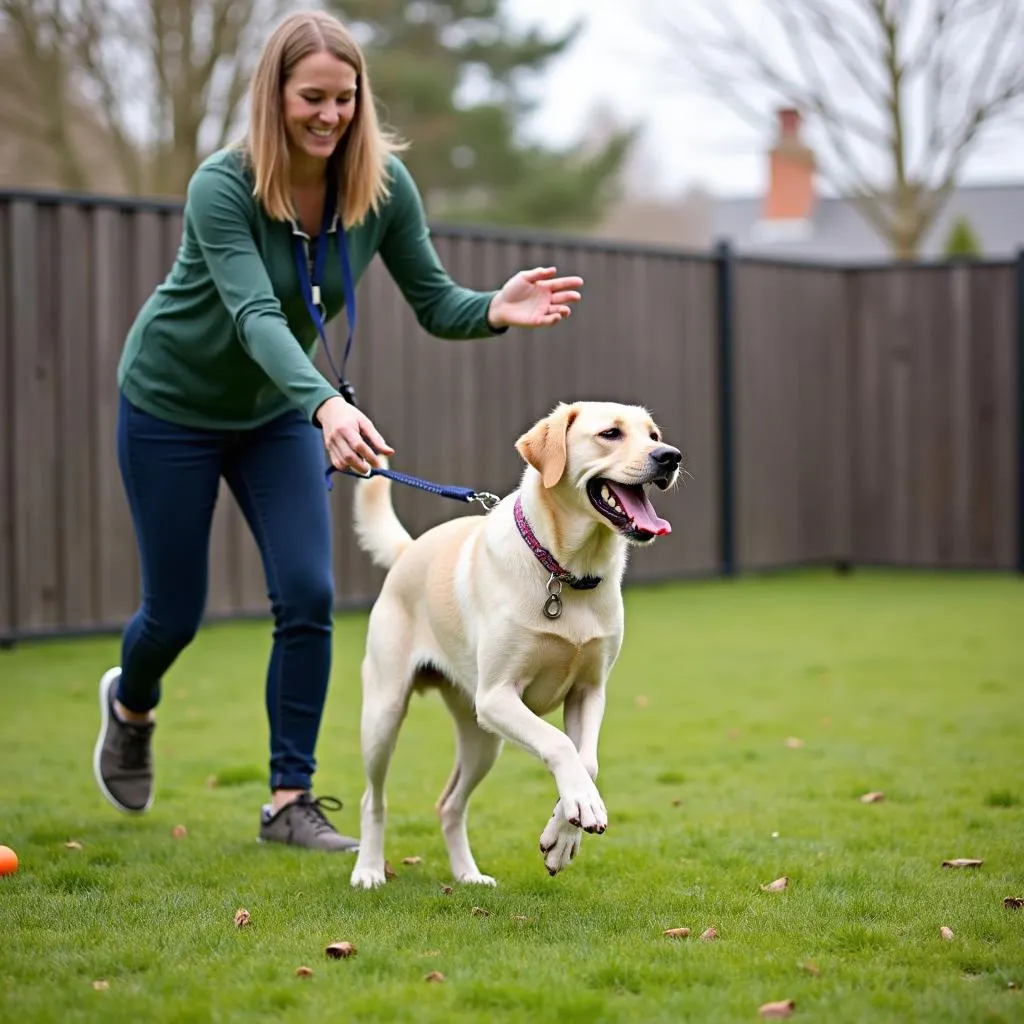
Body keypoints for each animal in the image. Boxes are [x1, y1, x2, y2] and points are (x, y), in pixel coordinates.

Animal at [350, 401, 679, 888]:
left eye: (654, 434)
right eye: (610, 434)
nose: (670, 456)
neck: (565, 571)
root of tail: (410, 551)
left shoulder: (588, 692)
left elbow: (587, 762)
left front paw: (564, 834)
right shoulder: (498, 696)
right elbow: (559, 745)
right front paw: (579, 810)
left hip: (483, 737)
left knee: (450, 805)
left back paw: (468, 876)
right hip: (385, 714)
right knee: (373, 799)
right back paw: (369, 870)